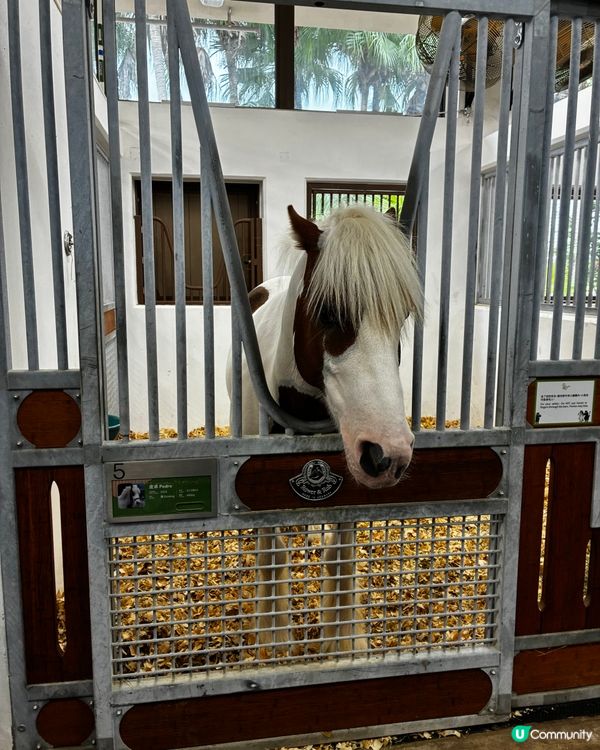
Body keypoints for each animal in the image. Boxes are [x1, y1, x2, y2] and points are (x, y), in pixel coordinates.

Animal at [228, 203, 422, 655]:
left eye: (401, 316)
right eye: (329, 313)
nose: (388, 454)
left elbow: (341, 554)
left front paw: (343, 642)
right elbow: (273, 551)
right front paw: (273, 639)